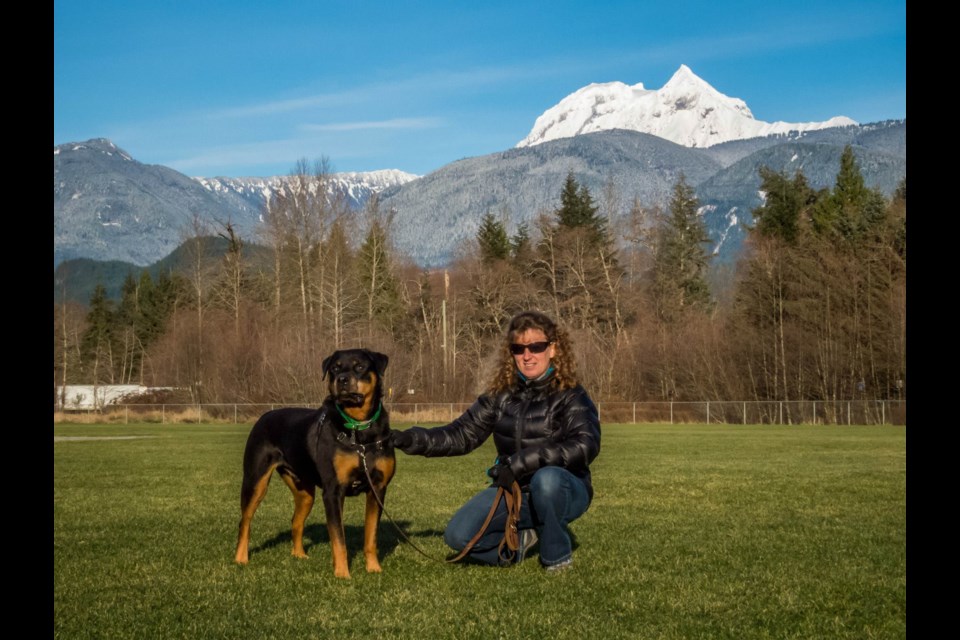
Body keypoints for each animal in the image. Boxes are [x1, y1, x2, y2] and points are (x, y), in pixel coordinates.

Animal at [232, 348, 394, 576]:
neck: (359, 429)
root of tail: (264, 417)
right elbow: (339, 539)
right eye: (335, 368)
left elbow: (371, 535)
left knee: (296, 520)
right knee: (244, 521)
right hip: (255, 481)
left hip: (304, 491)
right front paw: (342, 574)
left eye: (360, 366)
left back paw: (299, 555)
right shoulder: (334, 491)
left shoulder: (377, 488)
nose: (342, 380)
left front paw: (374, 569)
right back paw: (241, 559)